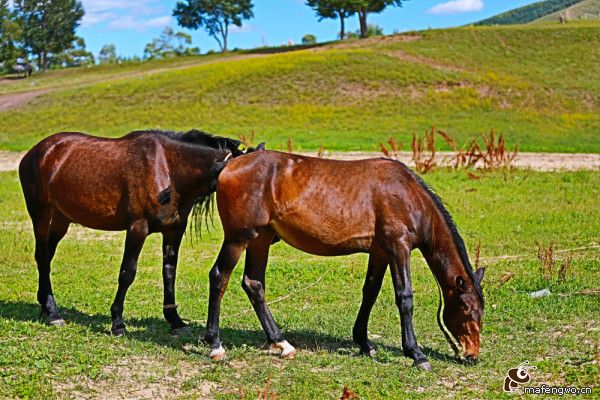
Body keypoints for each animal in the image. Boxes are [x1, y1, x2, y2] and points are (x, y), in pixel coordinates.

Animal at [18, 130, 248, 336]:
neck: (169, 168)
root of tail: (38, 151)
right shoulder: (137, 229)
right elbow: (127, 273)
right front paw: (117, 322)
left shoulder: (174, 231)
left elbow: (169, 273)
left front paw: (175, 321)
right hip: (40, 215)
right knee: (42, 256)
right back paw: (52, 312)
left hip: (61, 219)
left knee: (47, 257)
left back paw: (45, 305)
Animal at [204, 152, 486, 370]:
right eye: (466, 309)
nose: (472, 355)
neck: (407, 195)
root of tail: (229, 164)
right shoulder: (398, 247)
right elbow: (404, 298)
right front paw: (416, 354)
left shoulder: (380, 252)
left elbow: (370, 292)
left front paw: (364, 343)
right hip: (238, 239)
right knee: (219, 277)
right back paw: (215, 345)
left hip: (260, 240)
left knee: (254, 284)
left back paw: (282, 343)